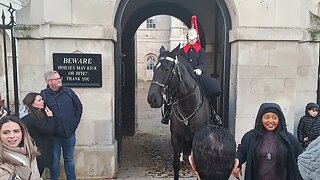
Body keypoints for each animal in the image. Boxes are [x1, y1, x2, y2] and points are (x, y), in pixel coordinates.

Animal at [147, 44, 212, 179]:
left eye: (167, 69)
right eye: (154, 68)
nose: (152, 99)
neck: (188, 106)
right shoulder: (176, 137)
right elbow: (176, 165)